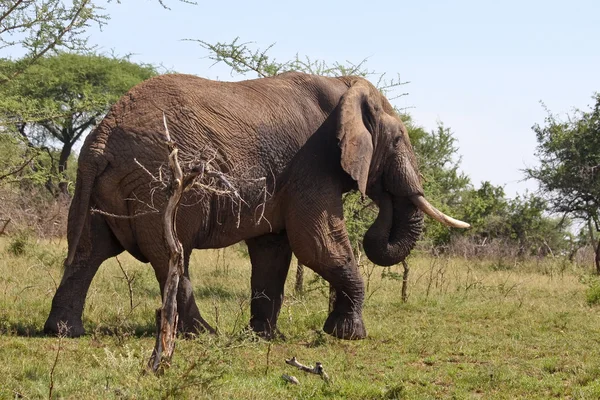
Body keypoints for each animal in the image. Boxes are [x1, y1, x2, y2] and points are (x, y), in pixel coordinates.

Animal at [45, 72, 468, 340]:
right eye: (397, 141)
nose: (381, 199)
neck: (342, 84)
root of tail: (103, 136)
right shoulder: (311, 162)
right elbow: (317, 244)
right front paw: (350, 336)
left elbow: (274, 250)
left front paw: (265, 336)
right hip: (160, 181)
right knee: (171, 255)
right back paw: (203, 335)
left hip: (100, 185)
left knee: (88, 252)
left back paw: (63, 333)